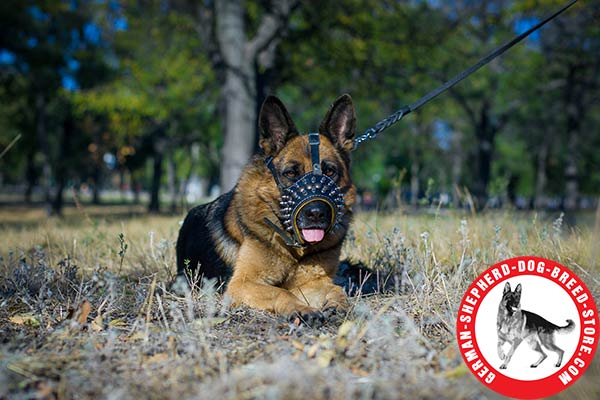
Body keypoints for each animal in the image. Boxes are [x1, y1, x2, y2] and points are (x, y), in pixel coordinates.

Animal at [176, 94, 358, 322]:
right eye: (291, 173)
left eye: (330, 171)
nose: (316, 213)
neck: (295, 249)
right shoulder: (242, 284)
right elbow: (281, 291)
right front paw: (302, 309)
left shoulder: (314, 282)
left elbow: (335, 288)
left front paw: (338, 304)